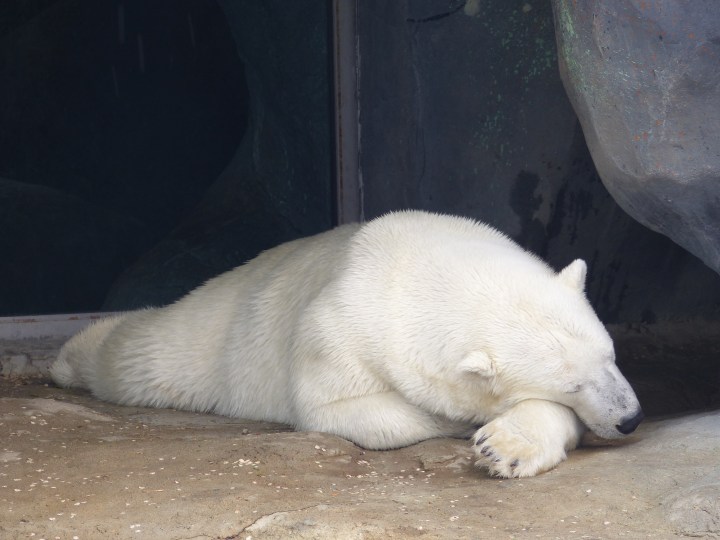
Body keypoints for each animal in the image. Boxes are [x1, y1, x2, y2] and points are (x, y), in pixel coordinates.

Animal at [50, 210, 643, 478]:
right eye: (572, 384)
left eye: (612, 358)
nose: (631, 418)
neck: (423, 266)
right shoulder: (337, 329)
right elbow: (339, 407)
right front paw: (467, 423)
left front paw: (505, 445)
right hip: (211, 337)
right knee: (142, 356)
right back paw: (68, 359)